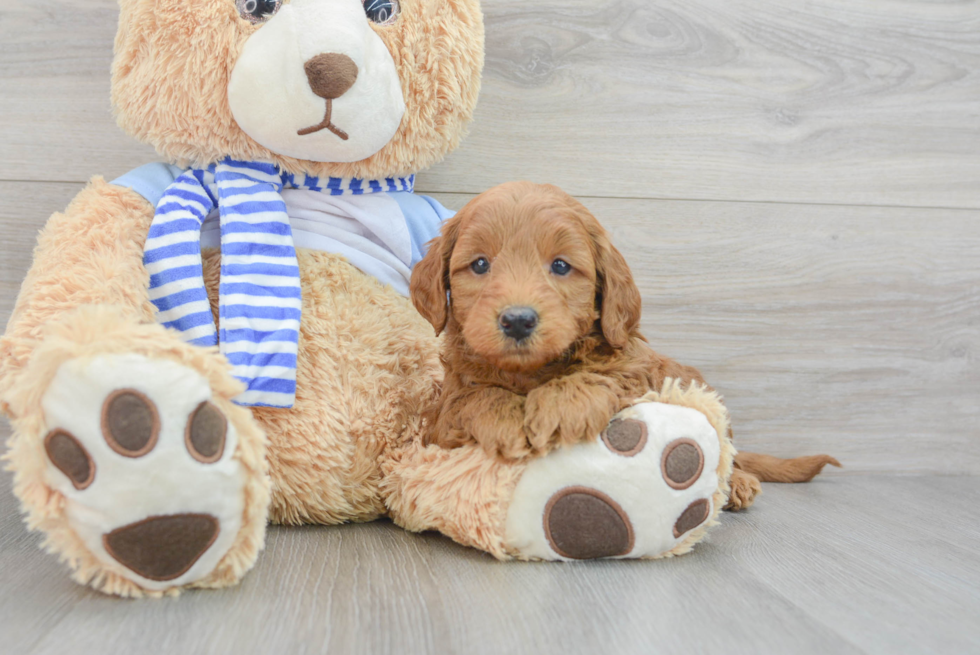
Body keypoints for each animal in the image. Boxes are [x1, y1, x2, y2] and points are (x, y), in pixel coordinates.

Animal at [410, 182, 840, 510]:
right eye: (480, 265)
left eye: (561, 266)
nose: (517, 320)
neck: (532, 373)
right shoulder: (440, 417)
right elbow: (470, 398)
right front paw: (506, 420)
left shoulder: (637, 368)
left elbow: (604, 375)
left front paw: (559, 407)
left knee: (728, 456)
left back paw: (739, 482)